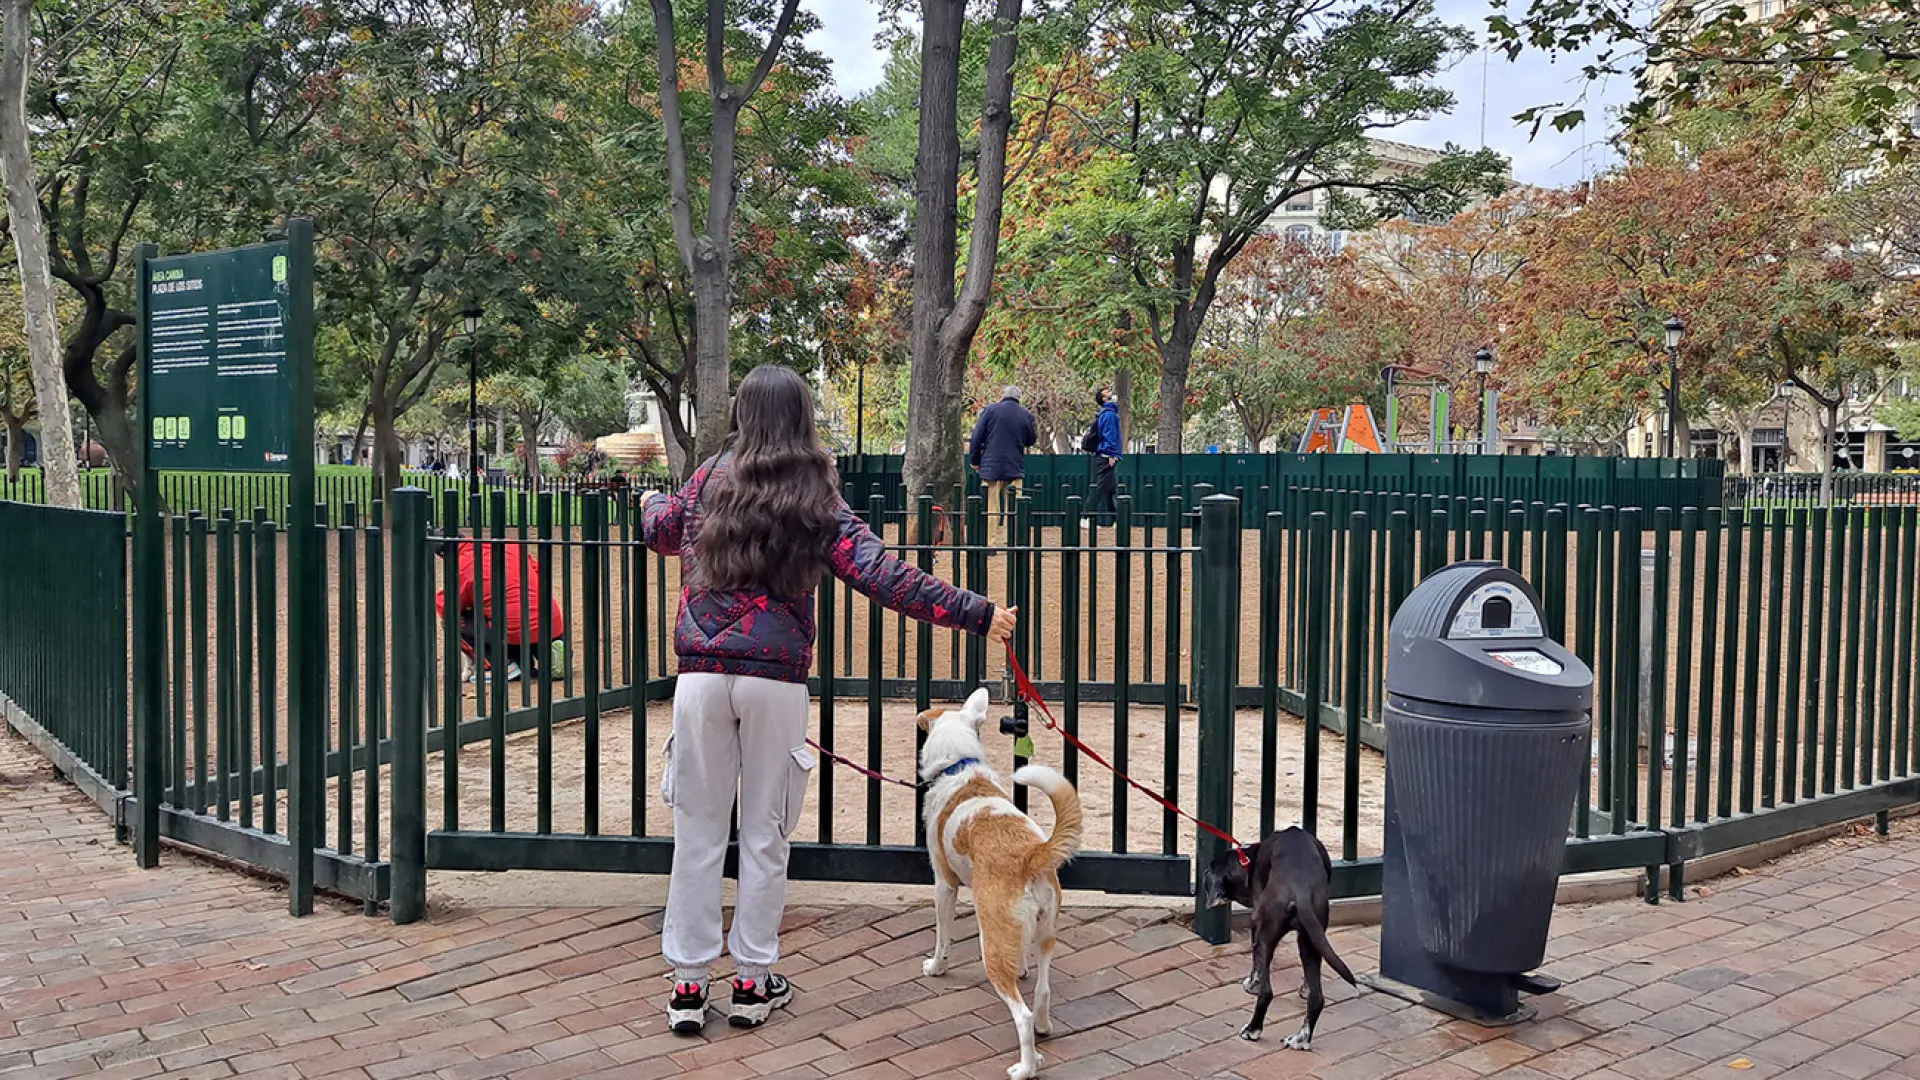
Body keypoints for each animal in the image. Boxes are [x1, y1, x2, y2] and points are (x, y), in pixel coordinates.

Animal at [913, 687, 1082, 1076]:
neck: (960, 769)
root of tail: (1031, 854)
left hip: (989, 941)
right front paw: (1021, 969)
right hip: (1047, 932)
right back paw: (1043, 1029)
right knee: (1042, 993)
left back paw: (1026, 1067)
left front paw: (936, 967)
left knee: (1021, 1015)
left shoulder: (944, 884)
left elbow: (942, 937)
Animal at [1190, 822, 1359, 1045]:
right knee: (1317, 998)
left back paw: (1252, 1029)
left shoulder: (1256, 922)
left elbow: (1256, 969)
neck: (1248, 861)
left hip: (1266, 937)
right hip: (1309, 940)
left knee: (1267, 992)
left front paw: (1251, 984)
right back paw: (1300, 1039)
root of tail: (1300, 890)